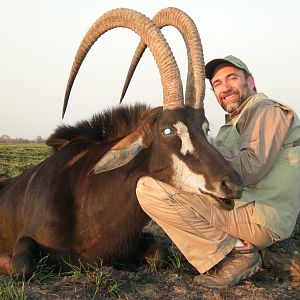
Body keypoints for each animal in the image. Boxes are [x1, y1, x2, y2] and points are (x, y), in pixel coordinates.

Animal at [0, 7, 243, 278]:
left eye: (205, 127)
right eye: (167, 130)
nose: (232, 184)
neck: (85, 200)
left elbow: (161, 252)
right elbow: (22, 266)